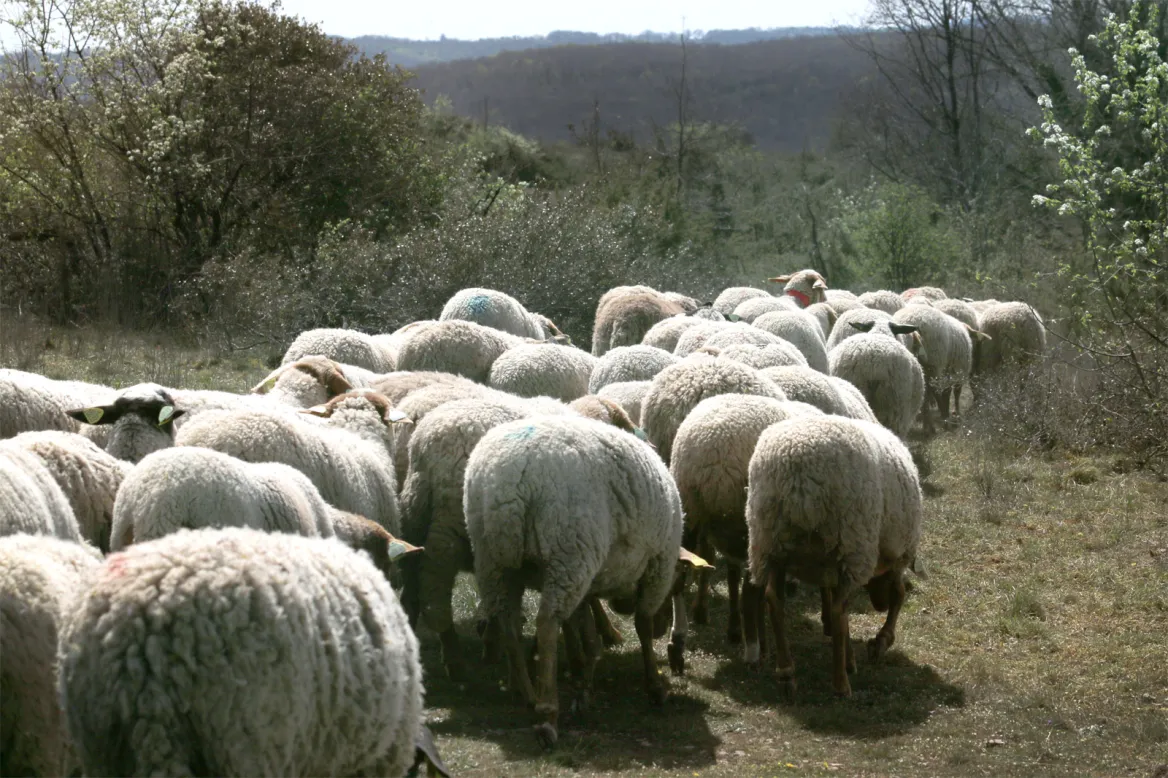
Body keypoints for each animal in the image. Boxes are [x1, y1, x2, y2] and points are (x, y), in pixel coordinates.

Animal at [464, 415, 693, 747]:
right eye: (680, 581)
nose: (667, 630)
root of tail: (510, 479)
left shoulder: (589, 578)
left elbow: (583, 630)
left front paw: (583, 679)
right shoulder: (657, 566)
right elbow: (643, 626)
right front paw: (654, 685)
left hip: (494, 557)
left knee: (508, 621)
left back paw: (527, 693)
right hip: (569, 549)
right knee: (547, 622)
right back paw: (547, 714)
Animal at [670, 395, 824, 661]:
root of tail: (712, 460)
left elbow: (732, 576)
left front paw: (733, 630)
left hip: (689, 507)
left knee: (680, 574)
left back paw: (678, 639)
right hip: (749, 521)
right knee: (749, 591)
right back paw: (754, 649)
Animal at [746, 416, 922, 697]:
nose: (878, 605)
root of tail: (798, 476)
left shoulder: (827, 564)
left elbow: (830, 598)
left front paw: (853, 653)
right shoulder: (895, 555)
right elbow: (899, 595)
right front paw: (880, 642)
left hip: (769, 541)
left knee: (774, 599)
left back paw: (786, 671)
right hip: (851, 542)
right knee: (841, 609)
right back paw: (840, 684)